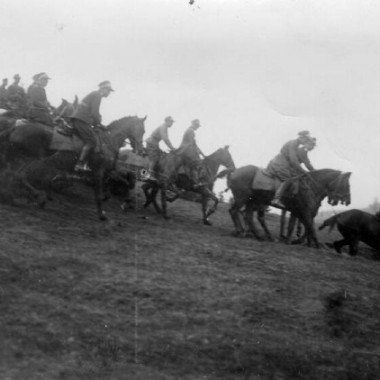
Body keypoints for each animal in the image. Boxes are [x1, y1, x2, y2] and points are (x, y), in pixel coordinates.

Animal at [0, 117, 146, 221]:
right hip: (30, 156)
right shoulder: (99, 171)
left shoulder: (102, 172)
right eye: (142, 130)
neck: (107, 141)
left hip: (20, 155)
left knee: (14, 174)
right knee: (19, 175)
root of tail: (17, 126)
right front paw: (102, 214)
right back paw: (37, 197)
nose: (141, 150)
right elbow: (99, 194)